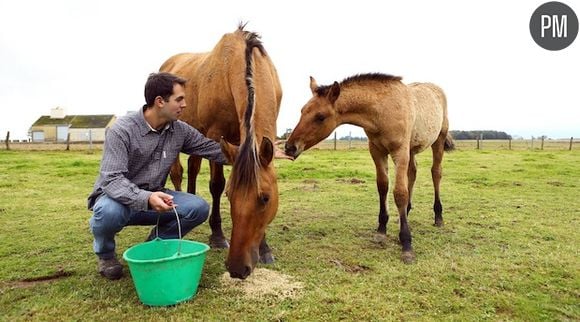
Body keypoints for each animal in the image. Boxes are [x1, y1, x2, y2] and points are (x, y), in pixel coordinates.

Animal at [161, 23, 284, 280]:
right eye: (230, 196)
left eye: (265, 198)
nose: (237, 268)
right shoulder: (215, 134)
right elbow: (216, 184)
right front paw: (217, 236)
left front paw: (265, 249)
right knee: (178, 172)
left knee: (193, 167)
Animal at [284, 73, 454, 264]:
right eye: (302, 111)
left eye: (320, 116)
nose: (289, 147)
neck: (383, 111)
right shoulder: (376, 151)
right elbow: (383, 186)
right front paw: (381, 229)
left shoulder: (399, 151)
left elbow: (399, 193)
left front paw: (407, 244)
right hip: (411, 150)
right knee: (413, 172)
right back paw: (407, 213)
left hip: (438, 140)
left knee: (436, 172)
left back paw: (438, 217)